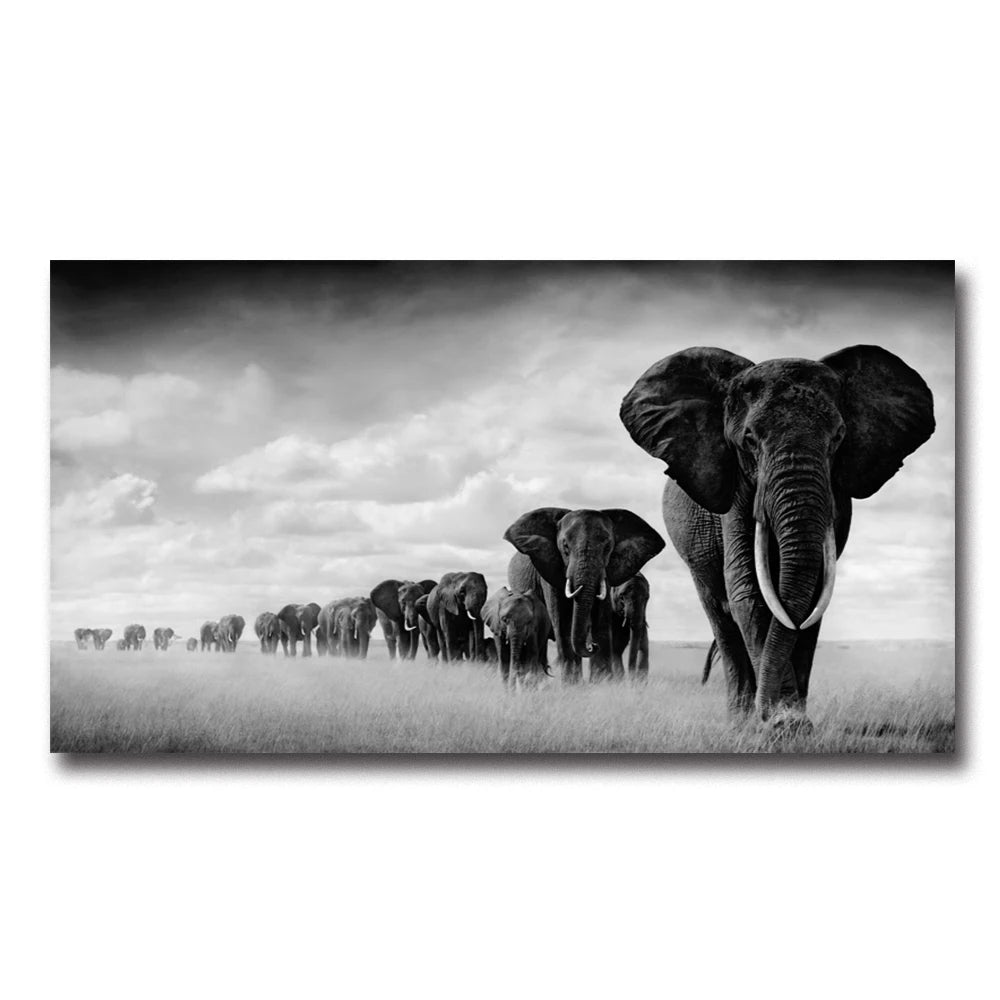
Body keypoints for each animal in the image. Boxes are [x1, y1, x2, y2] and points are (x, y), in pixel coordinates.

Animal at [503, 509, 665, 682]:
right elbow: (562, 618)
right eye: (565, 547)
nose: (592, 646)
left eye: (608, 547)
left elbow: (602, 616)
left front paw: (602, 682)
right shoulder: (549, 567)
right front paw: (571, 684)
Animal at [620, 344, 935, 722]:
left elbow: (813, 595)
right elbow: (748, 589)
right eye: (750, 439)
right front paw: (781, 722)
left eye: (838, 438)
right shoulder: (736, 488)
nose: (769, 713)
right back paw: (740, 720)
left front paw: (792, 720)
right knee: (721, 617)